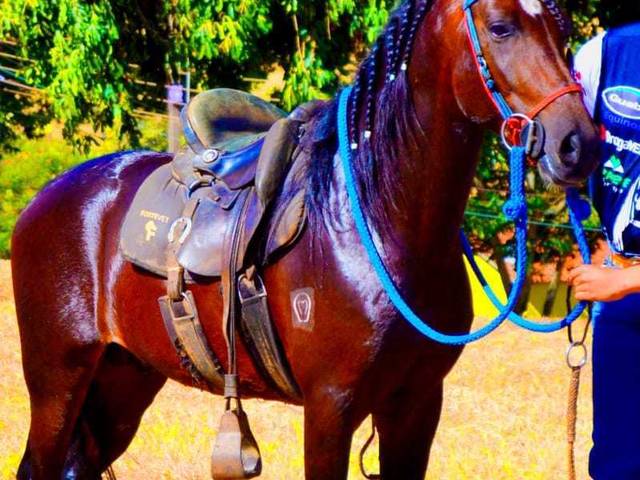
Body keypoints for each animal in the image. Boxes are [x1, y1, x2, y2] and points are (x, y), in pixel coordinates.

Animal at [11, 0, 600, 478]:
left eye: (563, 29)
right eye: (500, 27)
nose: (578, 145)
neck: (379, 220)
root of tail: (43, 200)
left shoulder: (415, 404)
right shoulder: (330, 407)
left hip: (123, 380)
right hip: (58, 381)